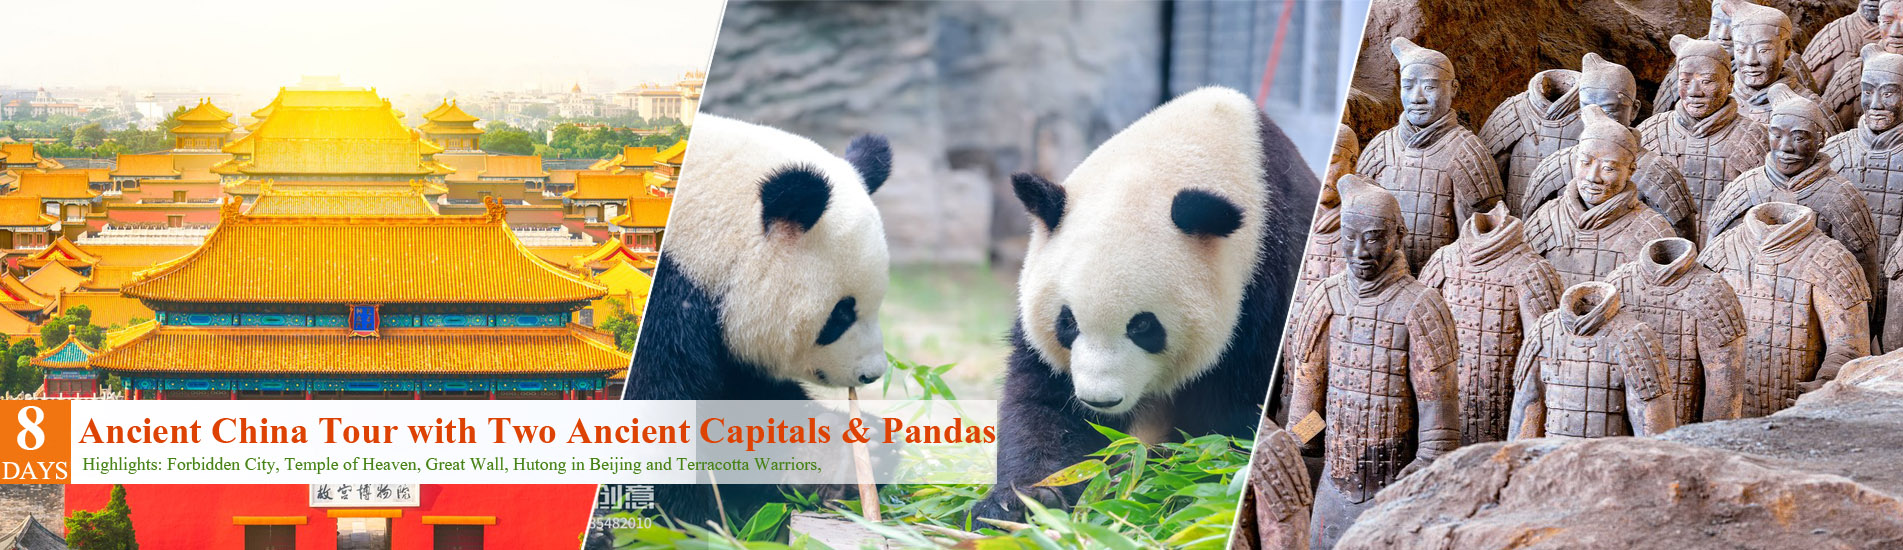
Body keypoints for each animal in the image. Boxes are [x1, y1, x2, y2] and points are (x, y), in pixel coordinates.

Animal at [973, 87, 1316, 521]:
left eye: (1143, 326)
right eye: (1067, 323)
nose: (1099, 401)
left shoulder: (1265, 285)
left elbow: (1230, 421)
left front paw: (1179, 485)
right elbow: (1043, 402)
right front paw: (1021, 502)